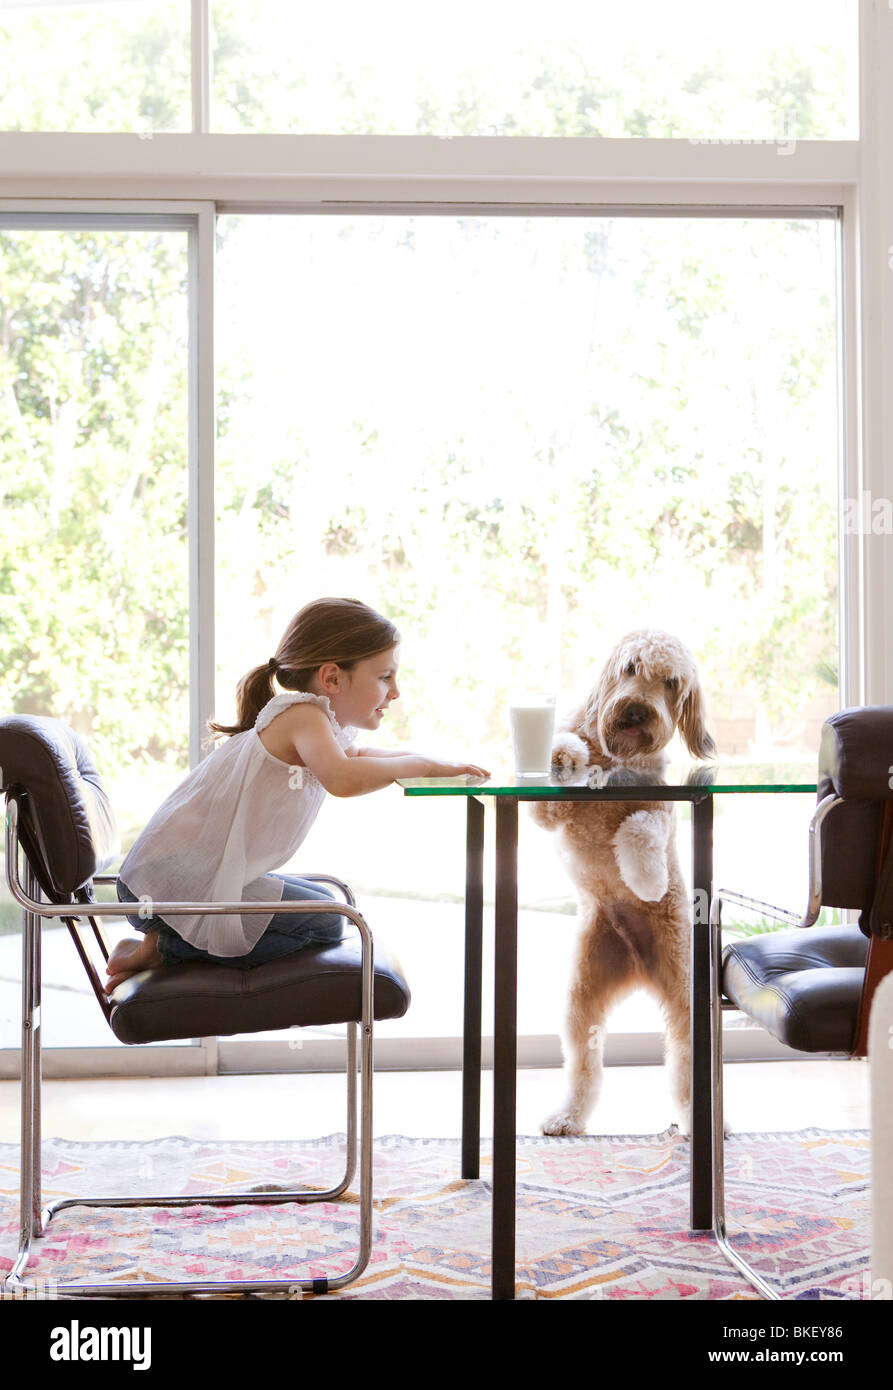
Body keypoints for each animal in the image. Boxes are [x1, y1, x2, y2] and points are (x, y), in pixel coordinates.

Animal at [528, 636, 717, 1134]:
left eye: (671, 683)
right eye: (631, 667)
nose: (636, 710)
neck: (615, 759)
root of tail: (639, 964)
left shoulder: (661, 812)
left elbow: (638, 830)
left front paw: (647, 879)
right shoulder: (547, 812)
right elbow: (560, 766)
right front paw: (564, 755)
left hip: (686, 995)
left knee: (687, 1066)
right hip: (582, 1000)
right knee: (584, 1064)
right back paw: (568, 1116)